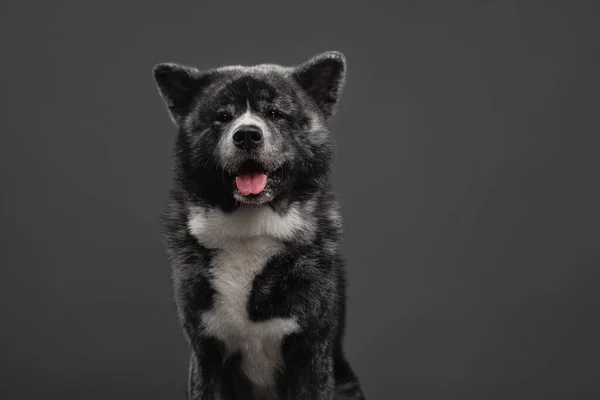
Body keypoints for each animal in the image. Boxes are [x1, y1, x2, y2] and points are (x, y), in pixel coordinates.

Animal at [152, 51, 364, 398]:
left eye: (275, 113)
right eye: (223, 116)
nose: (247, 135)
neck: (249, 229)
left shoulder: (311, 355)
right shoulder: (206, 357)